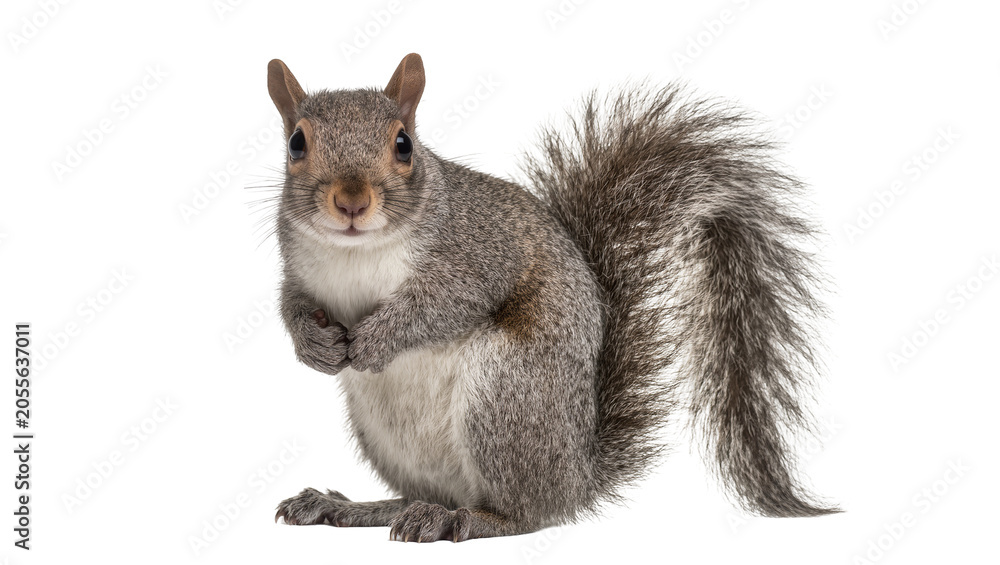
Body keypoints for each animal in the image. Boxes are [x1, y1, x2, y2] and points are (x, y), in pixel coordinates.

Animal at [268, 53, 838, 543]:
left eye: (404, 144)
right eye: (296, 143)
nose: (351, 201)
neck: (355, 253)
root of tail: (576, 475)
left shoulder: (478, 253)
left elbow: (443, 304)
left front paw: (376, 341)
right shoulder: (298, 271)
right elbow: (291, 304)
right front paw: (312, 345)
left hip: (506, 397)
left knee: (524, 513)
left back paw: (462, 519)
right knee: (418, 496)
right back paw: (351, 507)